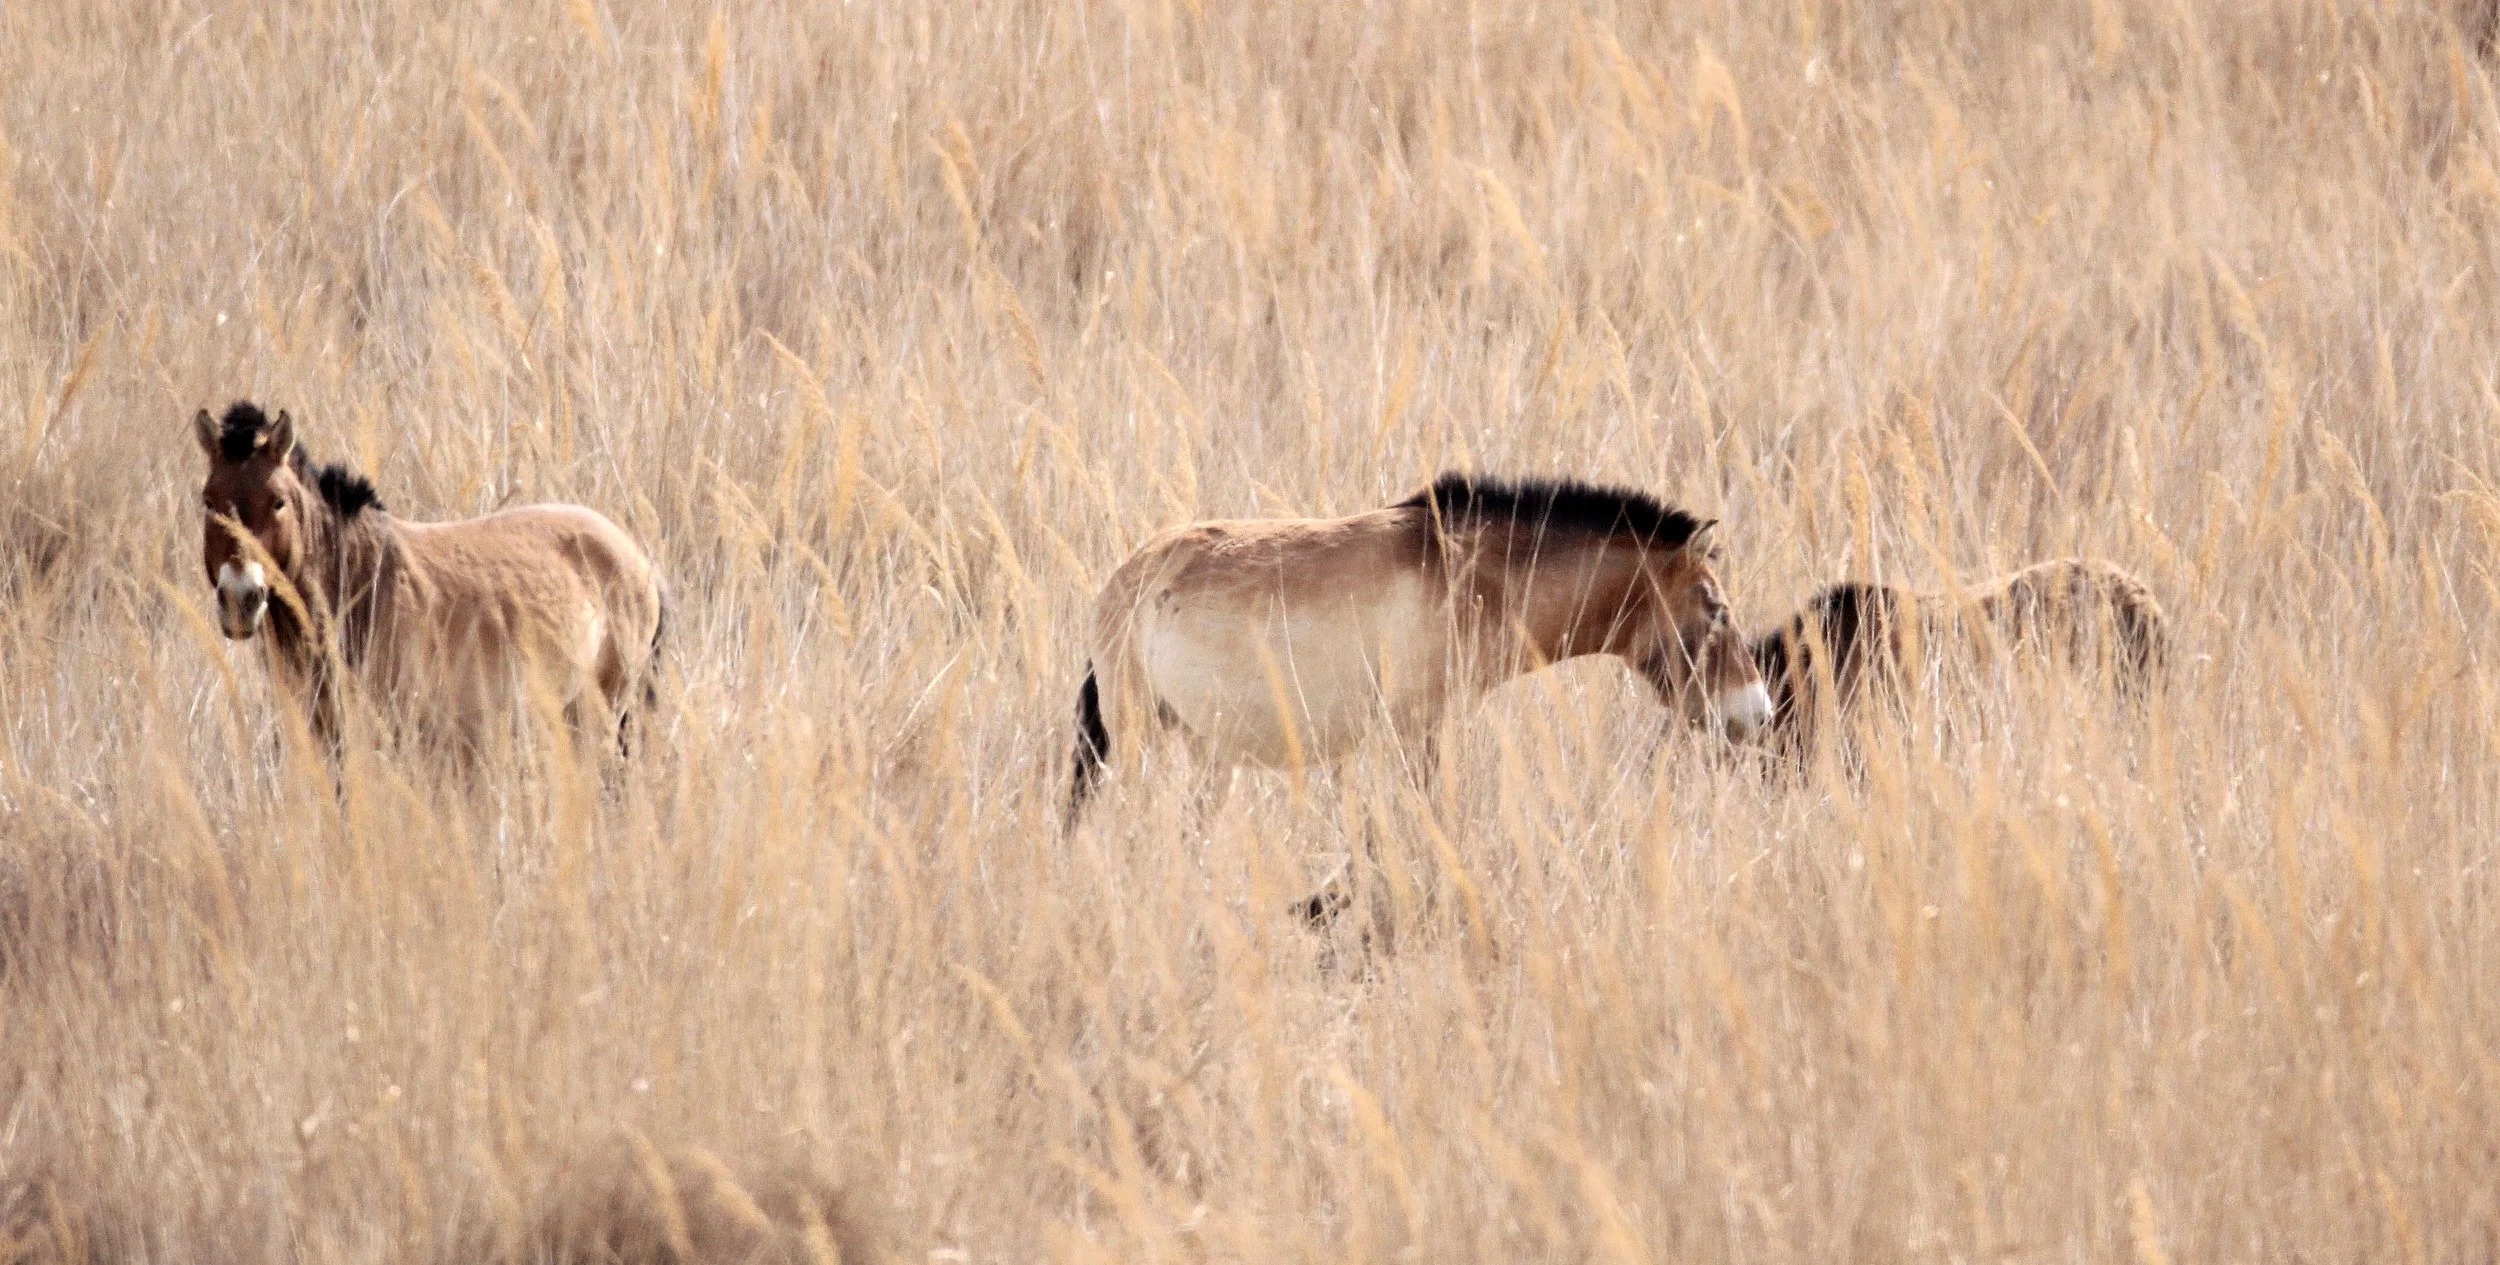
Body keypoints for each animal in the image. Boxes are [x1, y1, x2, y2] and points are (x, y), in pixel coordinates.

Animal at [1063, 473, 1772, 922]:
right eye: (1717, 609)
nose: (1758, 712)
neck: (1469, 573)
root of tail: (1130, 579)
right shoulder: (1410, 736)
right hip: (1141, 748)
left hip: (1209, 761)